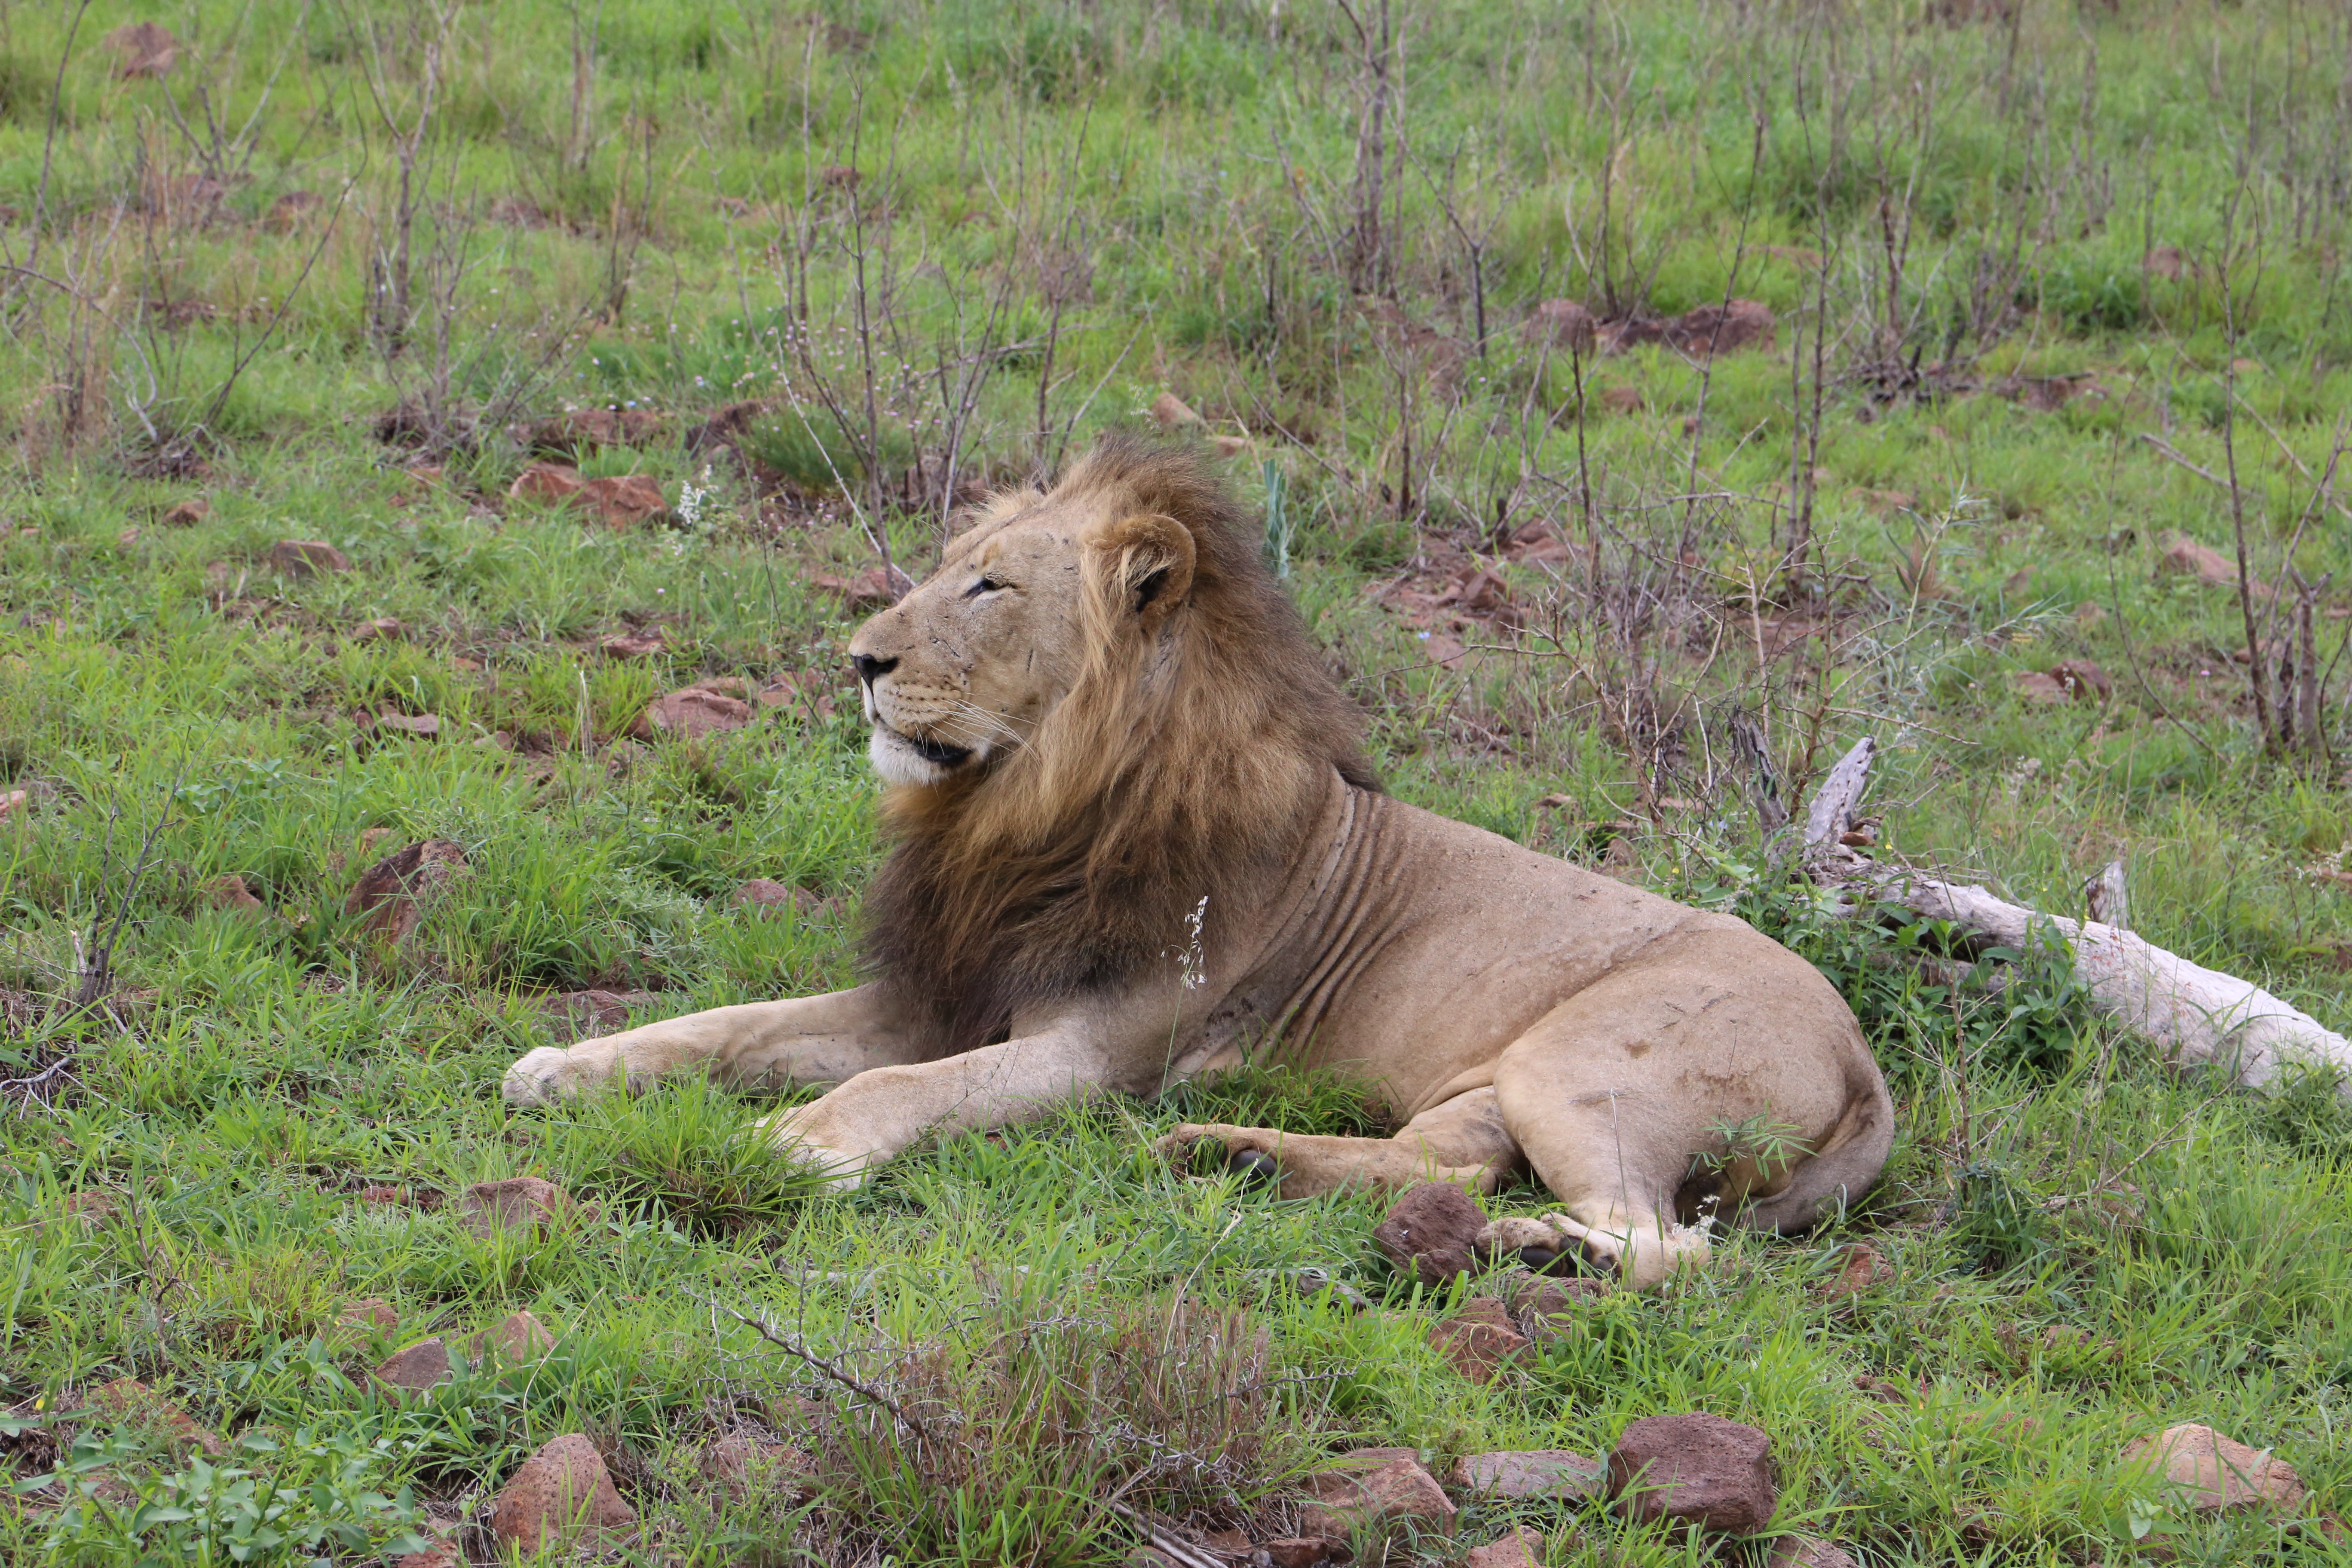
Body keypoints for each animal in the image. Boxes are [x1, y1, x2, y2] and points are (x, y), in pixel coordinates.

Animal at [505, 432, 1900, 1288]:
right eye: (946, 572)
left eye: (989, 589)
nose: (860, 659)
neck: (1019, 814)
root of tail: (1862, 1055)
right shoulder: (940, 989)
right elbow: (729, 1024)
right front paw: (567, 1065)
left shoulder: (1087, 1052)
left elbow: (898, 1090)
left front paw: (799, 1143)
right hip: (1499, 1082)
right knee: (1441, 1160)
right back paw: (1232, 1158)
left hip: (1579, 1064)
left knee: (1665, 1245)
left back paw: (1525, 1250)